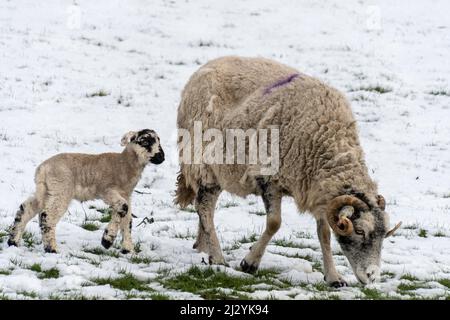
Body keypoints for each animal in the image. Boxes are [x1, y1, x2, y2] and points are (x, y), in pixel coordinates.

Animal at [7, 129, 164, 254]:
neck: (124, 164)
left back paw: (13, 241)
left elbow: (127, 221)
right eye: (145, 141)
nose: (161, 157)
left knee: (26, 209)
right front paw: (107, 240)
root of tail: (42, 169)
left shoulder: (127, 194)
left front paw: (128, 249)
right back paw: (51, 248)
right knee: (48, 216)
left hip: (46, 190)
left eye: (158, 141)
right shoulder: (107, 190)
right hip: (61, 189)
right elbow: (123, 208)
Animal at [175, 56, 400, 286]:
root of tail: (202, 70)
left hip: (219, 170)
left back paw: (203, 247)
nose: (372, 276)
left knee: (205, 205)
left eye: (384, 235)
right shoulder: (269, 177)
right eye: (360, 231)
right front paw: (250, 262)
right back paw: (217, 257)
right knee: (204, 207)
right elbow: (274, 223)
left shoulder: (317, 190)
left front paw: (333, 277)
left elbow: (324, 234)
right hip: (203, 161)